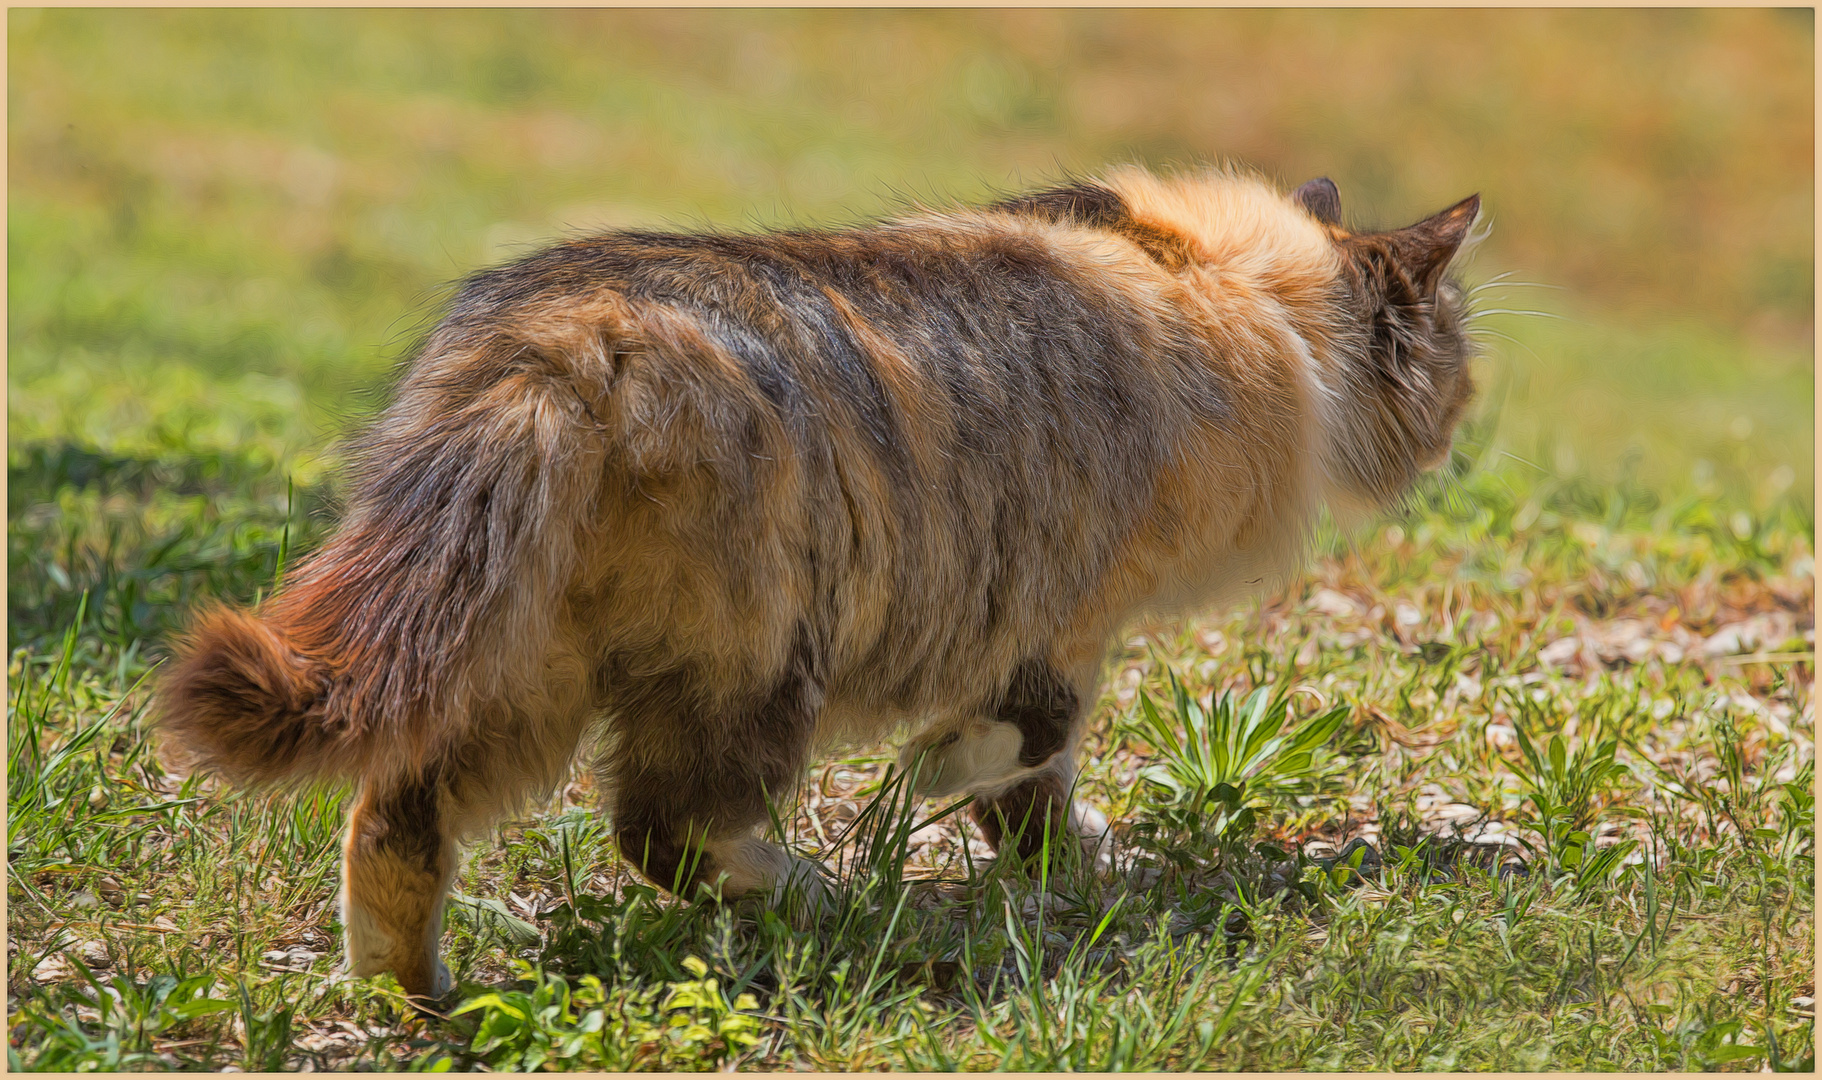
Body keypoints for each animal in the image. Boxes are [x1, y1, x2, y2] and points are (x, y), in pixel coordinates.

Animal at [156, 163, 1479, 998]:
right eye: (1456, 352)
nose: (1465, 417)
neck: (1227, 275)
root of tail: (561, 338)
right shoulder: (1059, 619)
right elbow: (1029, 755)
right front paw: (1014, 827)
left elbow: (1030, 779)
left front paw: (1054, 853)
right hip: (751, 653)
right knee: (665, 825)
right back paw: (817, 896)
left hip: (515, 648)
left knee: (398, 811)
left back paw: (411, 997)